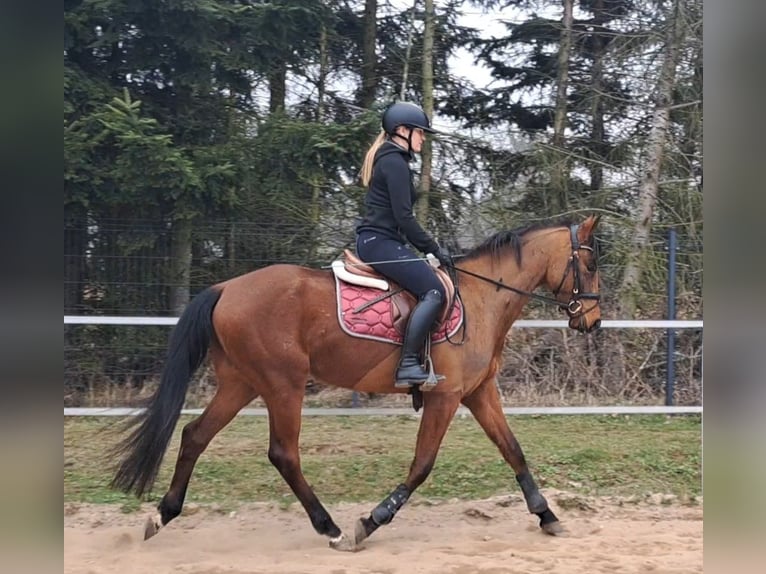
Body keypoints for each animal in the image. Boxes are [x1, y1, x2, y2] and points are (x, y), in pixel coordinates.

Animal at [109, 215, 600, 552]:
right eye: (591, 262)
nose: (592, 321)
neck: (482, 298)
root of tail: (226, 288)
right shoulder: (444, 398)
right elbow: (422, 465)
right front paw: (371, 521)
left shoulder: (479, 394)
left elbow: (513, 449)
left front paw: (547, 515)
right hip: (282, 384)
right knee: (283, 453)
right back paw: (330, 526)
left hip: (240, 383)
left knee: (195, 435)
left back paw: (163, 515)